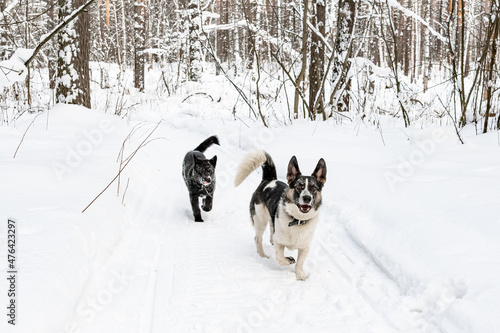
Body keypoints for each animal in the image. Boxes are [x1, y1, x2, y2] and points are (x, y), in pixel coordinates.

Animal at [235, 151, 328, 280]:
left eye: (313, 188)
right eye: (299, 187)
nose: (307, 198)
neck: (298, 220)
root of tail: (269, 180)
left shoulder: (305, 247)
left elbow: (300, 263)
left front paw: (300, 275)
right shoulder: (280, 243)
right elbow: (280, 259)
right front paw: (289, 260)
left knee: (271, 226)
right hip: (260, 219)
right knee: (258, 238)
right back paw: (263, 255)